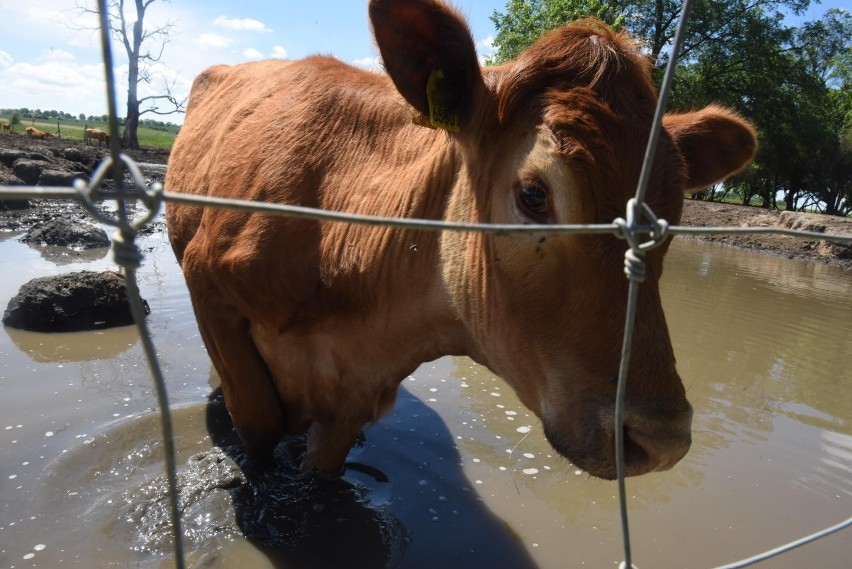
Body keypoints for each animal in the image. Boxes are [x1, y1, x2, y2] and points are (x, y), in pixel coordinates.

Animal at [166, 1, 760, 480]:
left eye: (672, 214)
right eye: (534, 195)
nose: (662, 440)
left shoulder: (352, 396)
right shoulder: (209, 290)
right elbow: (259, 429)